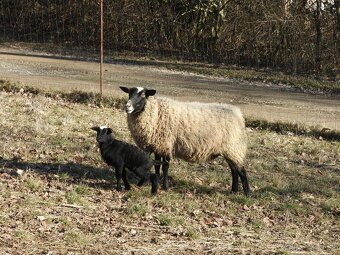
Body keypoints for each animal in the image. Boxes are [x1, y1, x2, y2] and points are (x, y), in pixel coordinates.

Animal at [119, 86, 250, 196]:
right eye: (129, 93)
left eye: (143, 94)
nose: (127, 106)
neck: (156, 112)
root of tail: (238, 113)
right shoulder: (158, 145)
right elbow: (157, 166)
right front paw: (156, 180)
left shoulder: (166, 144)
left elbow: (165, 166)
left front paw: (165, 187)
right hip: (229, 150)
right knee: (234, 170)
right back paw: (234, 190)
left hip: (234, 147)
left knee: (241, 171)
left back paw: (247, 193)